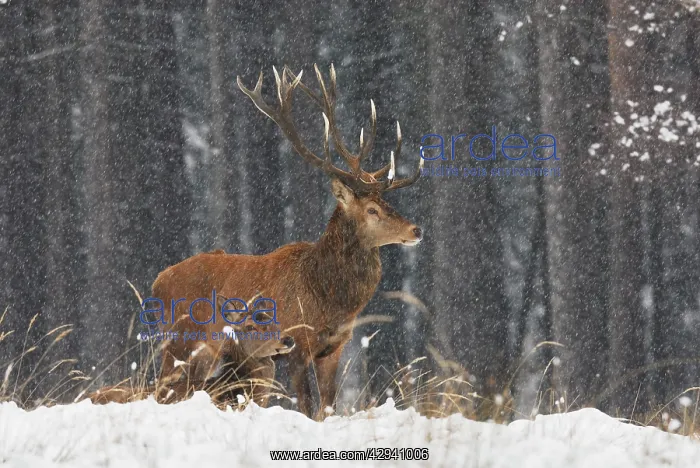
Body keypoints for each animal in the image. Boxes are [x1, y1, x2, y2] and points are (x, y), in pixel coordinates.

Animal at [152, 64, 423, 420]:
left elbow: (328, 406)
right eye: (372, 209)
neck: (329, 298)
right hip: (184, 341)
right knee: (162, 390)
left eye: (385, 201)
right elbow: (307, 406)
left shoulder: (333, 347)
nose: (416, 230)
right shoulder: (297, 341)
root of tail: (157, 282)